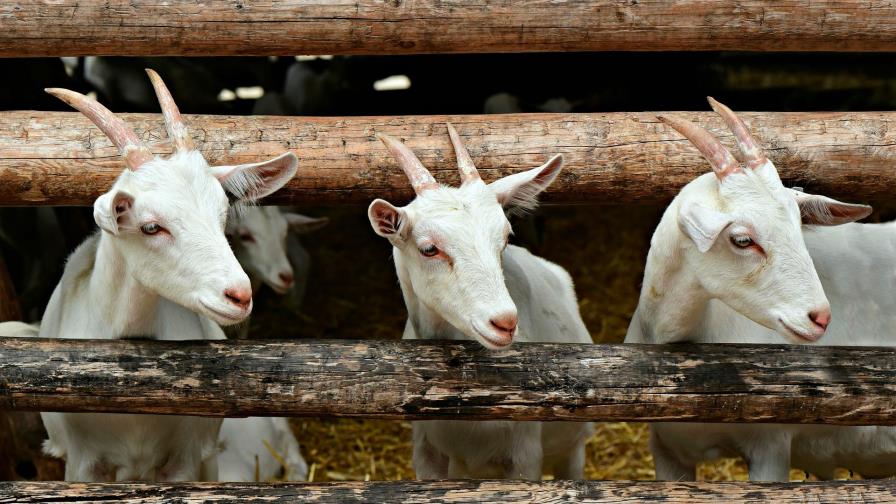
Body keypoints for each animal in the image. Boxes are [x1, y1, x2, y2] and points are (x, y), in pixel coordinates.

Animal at [368, 124, 593, 480]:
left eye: (506, 236)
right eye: (429, 248)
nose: (505, 322)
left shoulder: (525, 454)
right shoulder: (426, 451)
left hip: (573, 447)